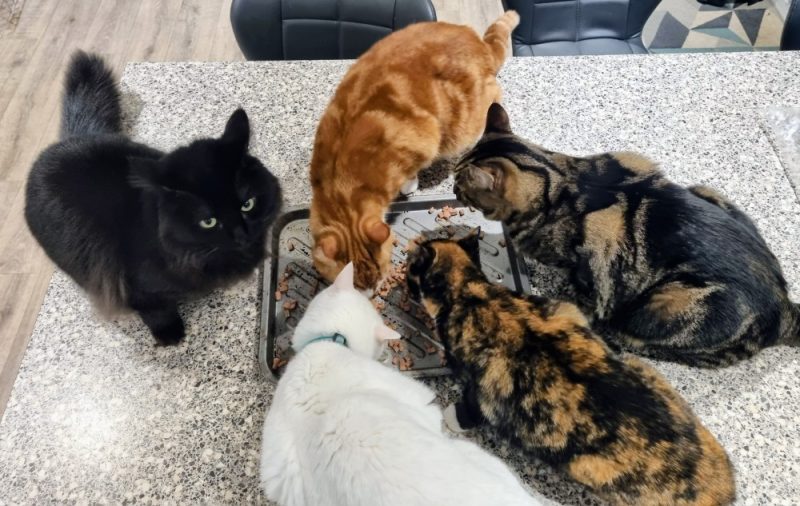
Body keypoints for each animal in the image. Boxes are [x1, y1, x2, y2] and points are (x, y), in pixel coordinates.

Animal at [25, 51, 282, 344]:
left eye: (247, 204)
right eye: (209, 222)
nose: (241, 235)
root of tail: (72, 138)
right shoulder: (135, 288)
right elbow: (155, 309)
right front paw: (170, 335)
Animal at [309, 11, 520, 290]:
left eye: (379, 278)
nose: (369, 295)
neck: (340, 179)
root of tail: (480, 45)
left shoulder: (425, 138)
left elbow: (411, 172)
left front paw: (408, 185)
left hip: (464, 128)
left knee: (495, 97)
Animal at [406, 229, 736, 506]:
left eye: (410, 271)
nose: (404, 278)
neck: (471, 292)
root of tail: (722, 488)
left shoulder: (484, 389)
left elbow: (467, 411)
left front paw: (449, 419)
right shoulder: (566, 311)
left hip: (590, 468)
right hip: (642, 368)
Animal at [452, 103, 800, 367]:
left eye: (460, 184)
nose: (453, 189)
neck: (560, 180)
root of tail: (784, 306)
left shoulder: (597, 269)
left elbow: (581, 294)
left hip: (671, 306)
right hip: (708, 191)